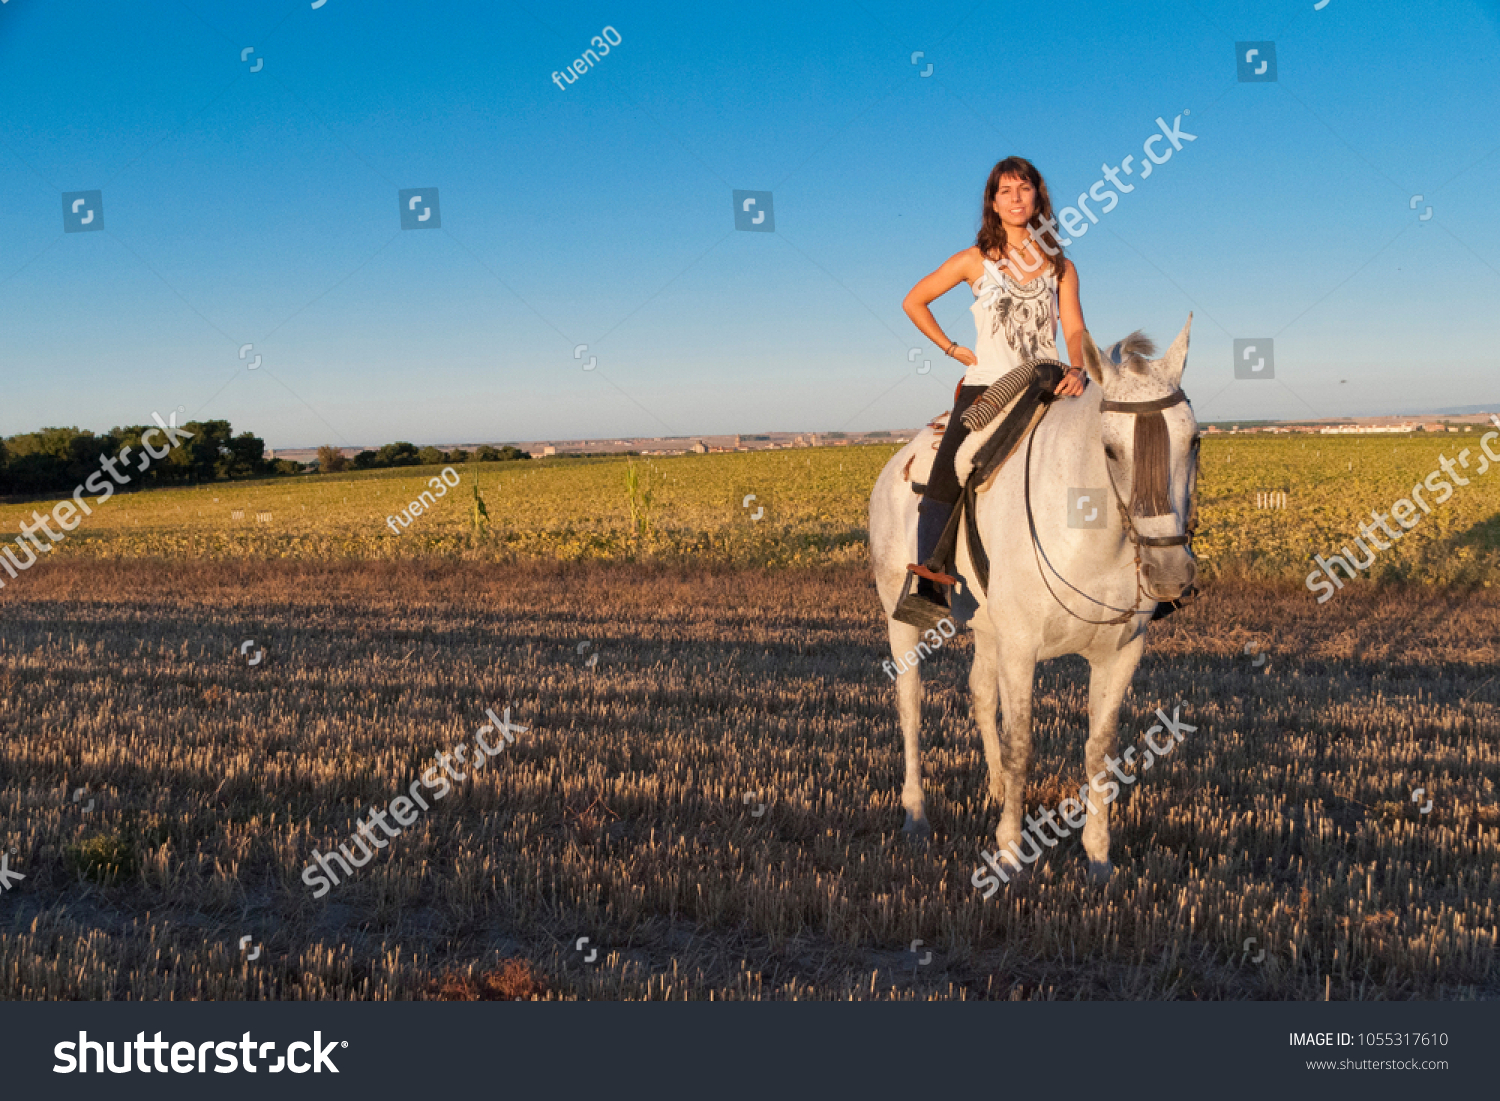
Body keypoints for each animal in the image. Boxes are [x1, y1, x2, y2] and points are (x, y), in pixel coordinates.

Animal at [870, 316, 1194, 882]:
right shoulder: (1021, 649)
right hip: (901, 619)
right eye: (1111, 450)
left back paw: (995, 788)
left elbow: (1099, 750)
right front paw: (1007, 852)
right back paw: (915, 815)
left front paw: (1098, 857)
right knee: (910, 706)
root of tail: (897, 463)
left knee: (979, 693)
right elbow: (1020, 743)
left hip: (986, 629)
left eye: (1194, 441)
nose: (1171, 574)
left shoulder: (1120, 654)